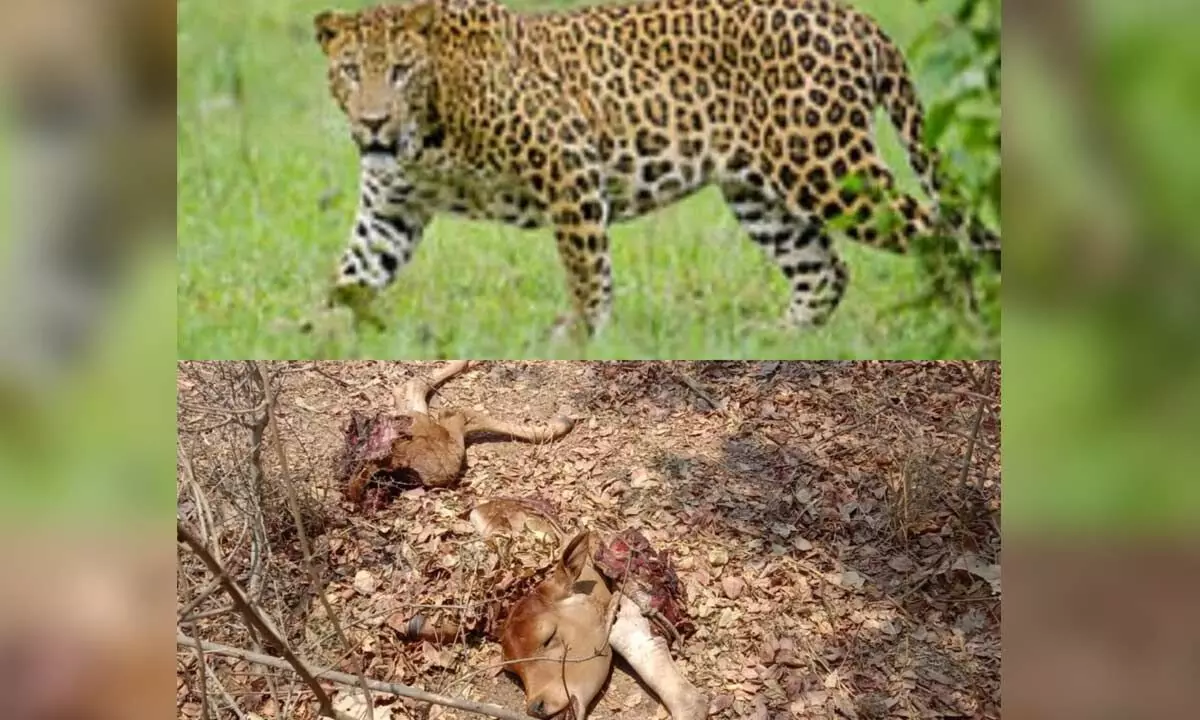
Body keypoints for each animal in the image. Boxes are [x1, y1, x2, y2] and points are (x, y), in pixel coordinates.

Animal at [313, 0, 1000, 339]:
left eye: (400, 71)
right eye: (350, 71)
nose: (373, 122)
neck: (426, 129)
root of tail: (857, 18)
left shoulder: (568, 163)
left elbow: (587, 271)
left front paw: (584, 338)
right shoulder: (391, 210)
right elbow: (350, 278)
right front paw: (316, 339)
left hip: (827, 165)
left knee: (940, 236)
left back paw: (966, 329)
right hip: (759, 191)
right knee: (825, 269)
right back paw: (776, 339)